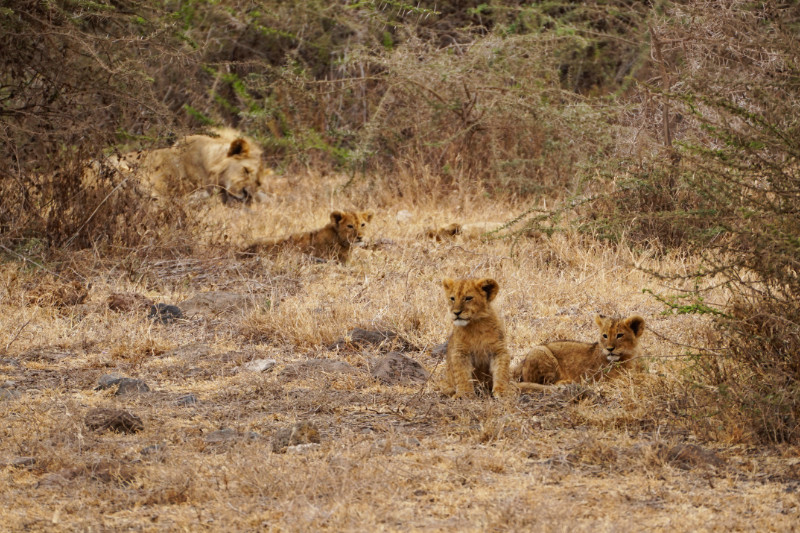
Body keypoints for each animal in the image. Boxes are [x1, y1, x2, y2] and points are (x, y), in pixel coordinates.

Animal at [512, 315, 645, 391]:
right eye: (605, 336)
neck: (628, 356)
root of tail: (521, 362)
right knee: (544, 383)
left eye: (620, 335)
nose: (609, 349)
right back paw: (568, 383)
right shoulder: (607, 379)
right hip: (540, 351)